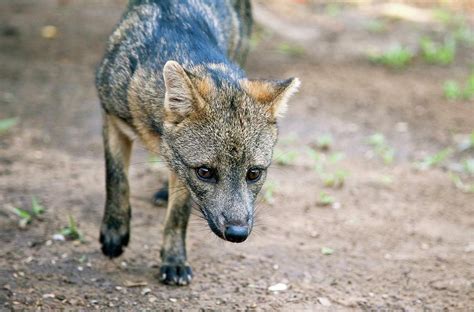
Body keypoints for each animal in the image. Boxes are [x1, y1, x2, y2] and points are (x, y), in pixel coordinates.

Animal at [94, 0, 298, 286]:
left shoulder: (180, 170)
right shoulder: (111, 116)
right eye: (205, 172)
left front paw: (174, 259)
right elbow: (116, 177)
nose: (237, 233)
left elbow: (179, 212)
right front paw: (115, 231)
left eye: (253, 174)